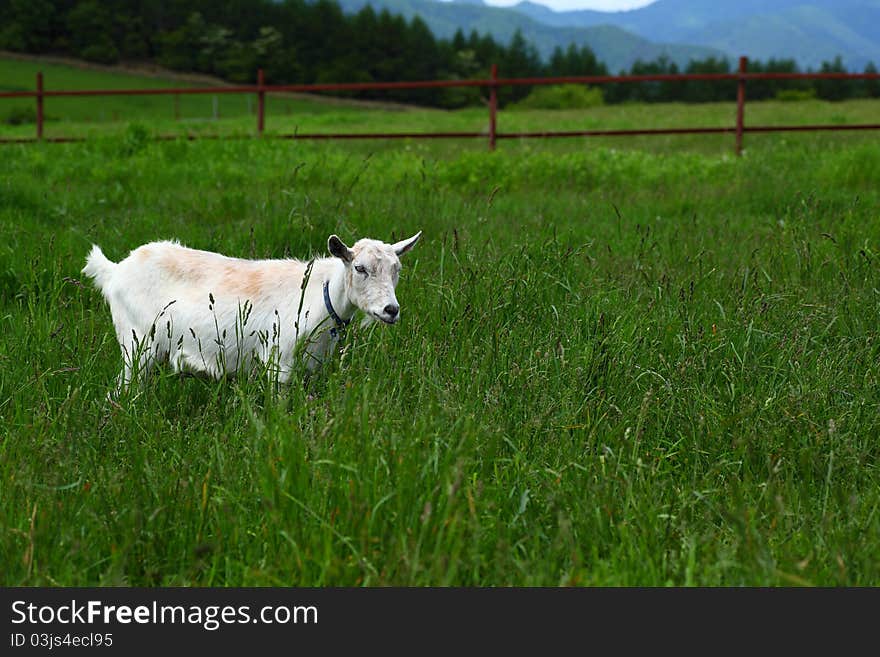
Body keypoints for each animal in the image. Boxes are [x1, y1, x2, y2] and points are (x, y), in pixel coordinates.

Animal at [81, 232, 420, 392]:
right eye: (360, 268)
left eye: (397, 269)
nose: (391, 310)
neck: (318, 294)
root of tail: (114, 271)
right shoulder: (279, 362)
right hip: (136, 343)